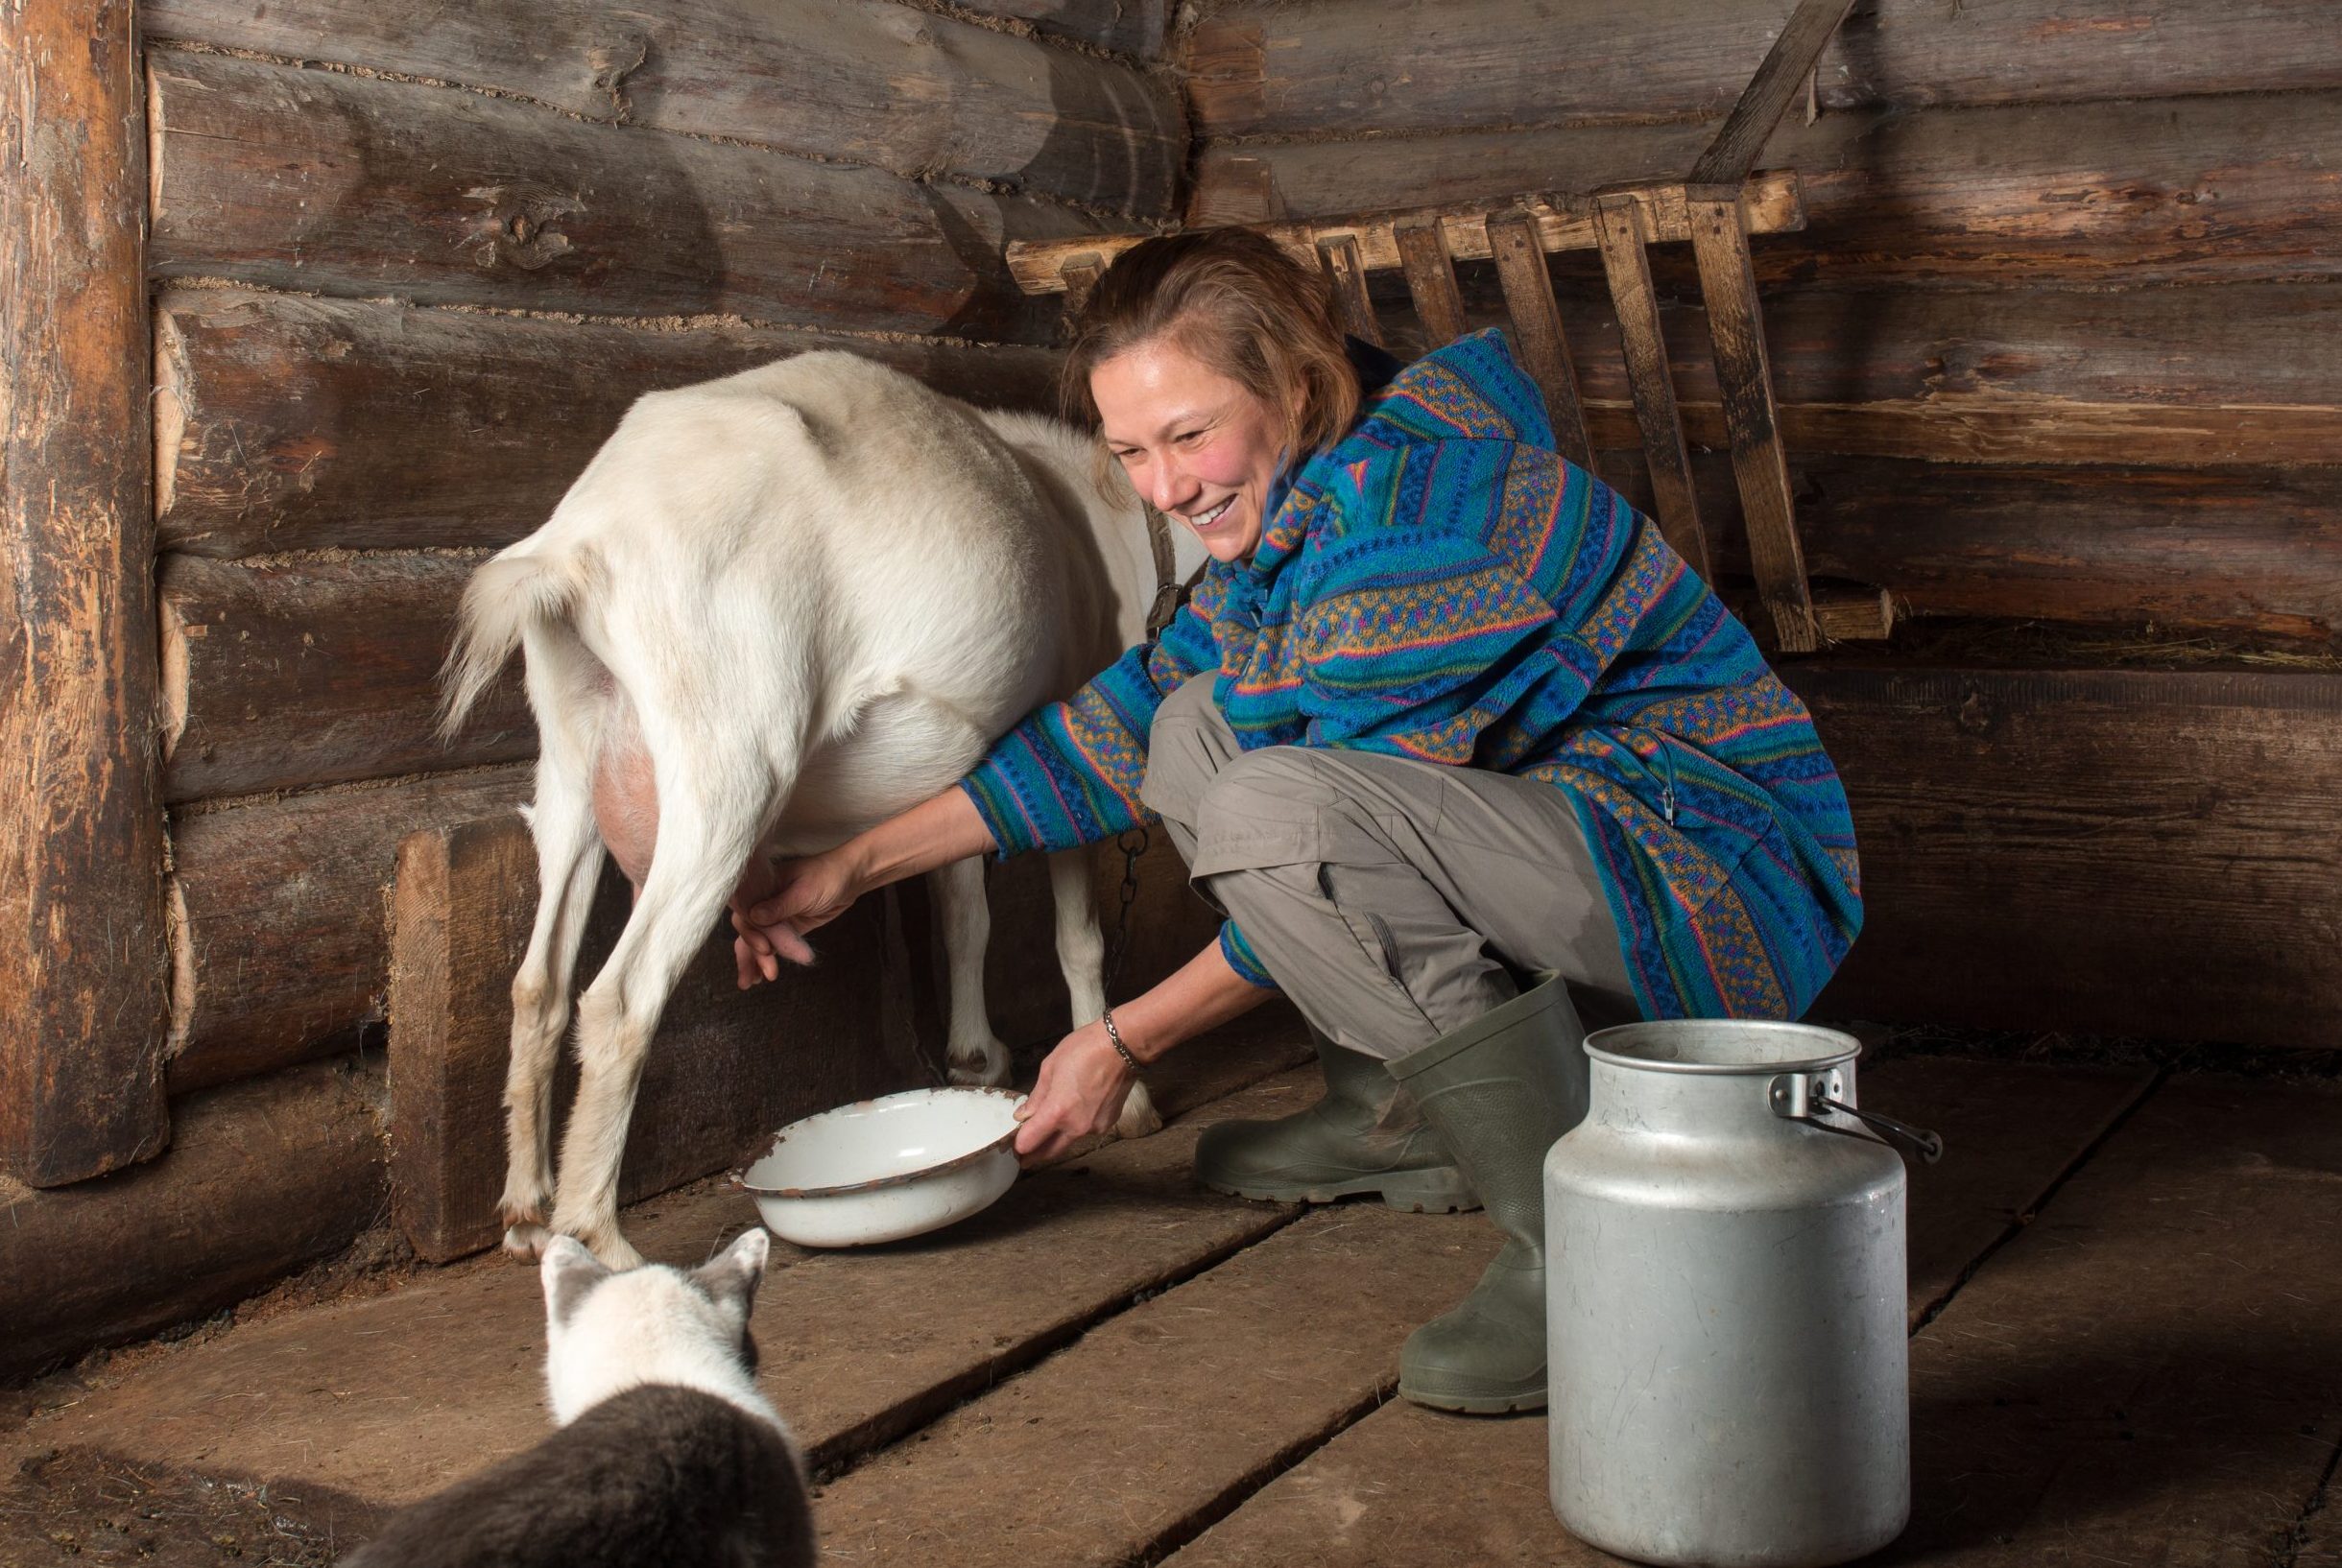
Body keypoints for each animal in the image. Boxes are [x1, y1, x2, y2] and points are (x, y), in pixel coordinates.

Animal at [440, 350, 1208, 1272]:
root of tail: (575, 545)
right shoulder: (1060, 713)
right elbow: (1076, 937)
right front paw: (1127, 1105)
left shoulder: (963, 765)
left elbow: (963, 916)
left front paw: (973, 1058)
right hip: (728, 753)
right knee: (619, 999)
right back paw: (603, 1240)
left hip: (569, 760)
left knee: (538, 984)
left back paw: (525, 1212)